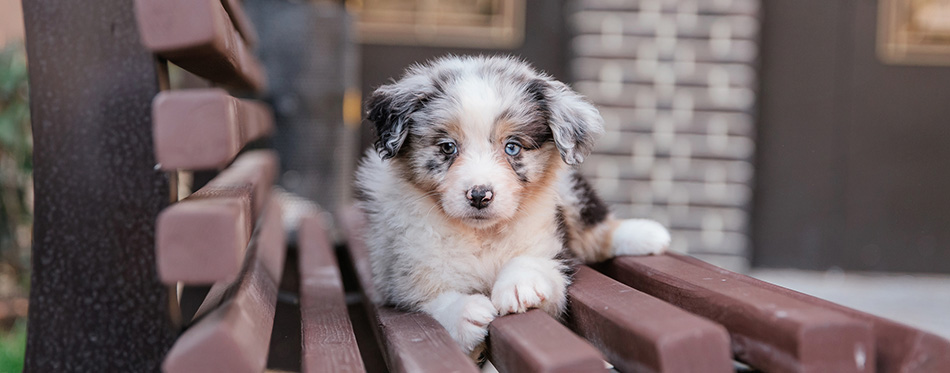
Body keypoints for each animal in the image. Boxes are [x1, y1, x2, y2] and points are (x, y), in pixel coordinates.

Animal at [354, 55, 672, 354]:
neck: (481, 235)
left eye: (512, 147)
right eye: (447, 147)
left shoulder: (549, 242)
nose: (479, 195)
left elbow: (534, 259)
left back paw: (646, 234)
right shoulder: (397, 272)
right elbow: (425, 302)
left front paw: (520, 286)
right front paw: (463, 313)